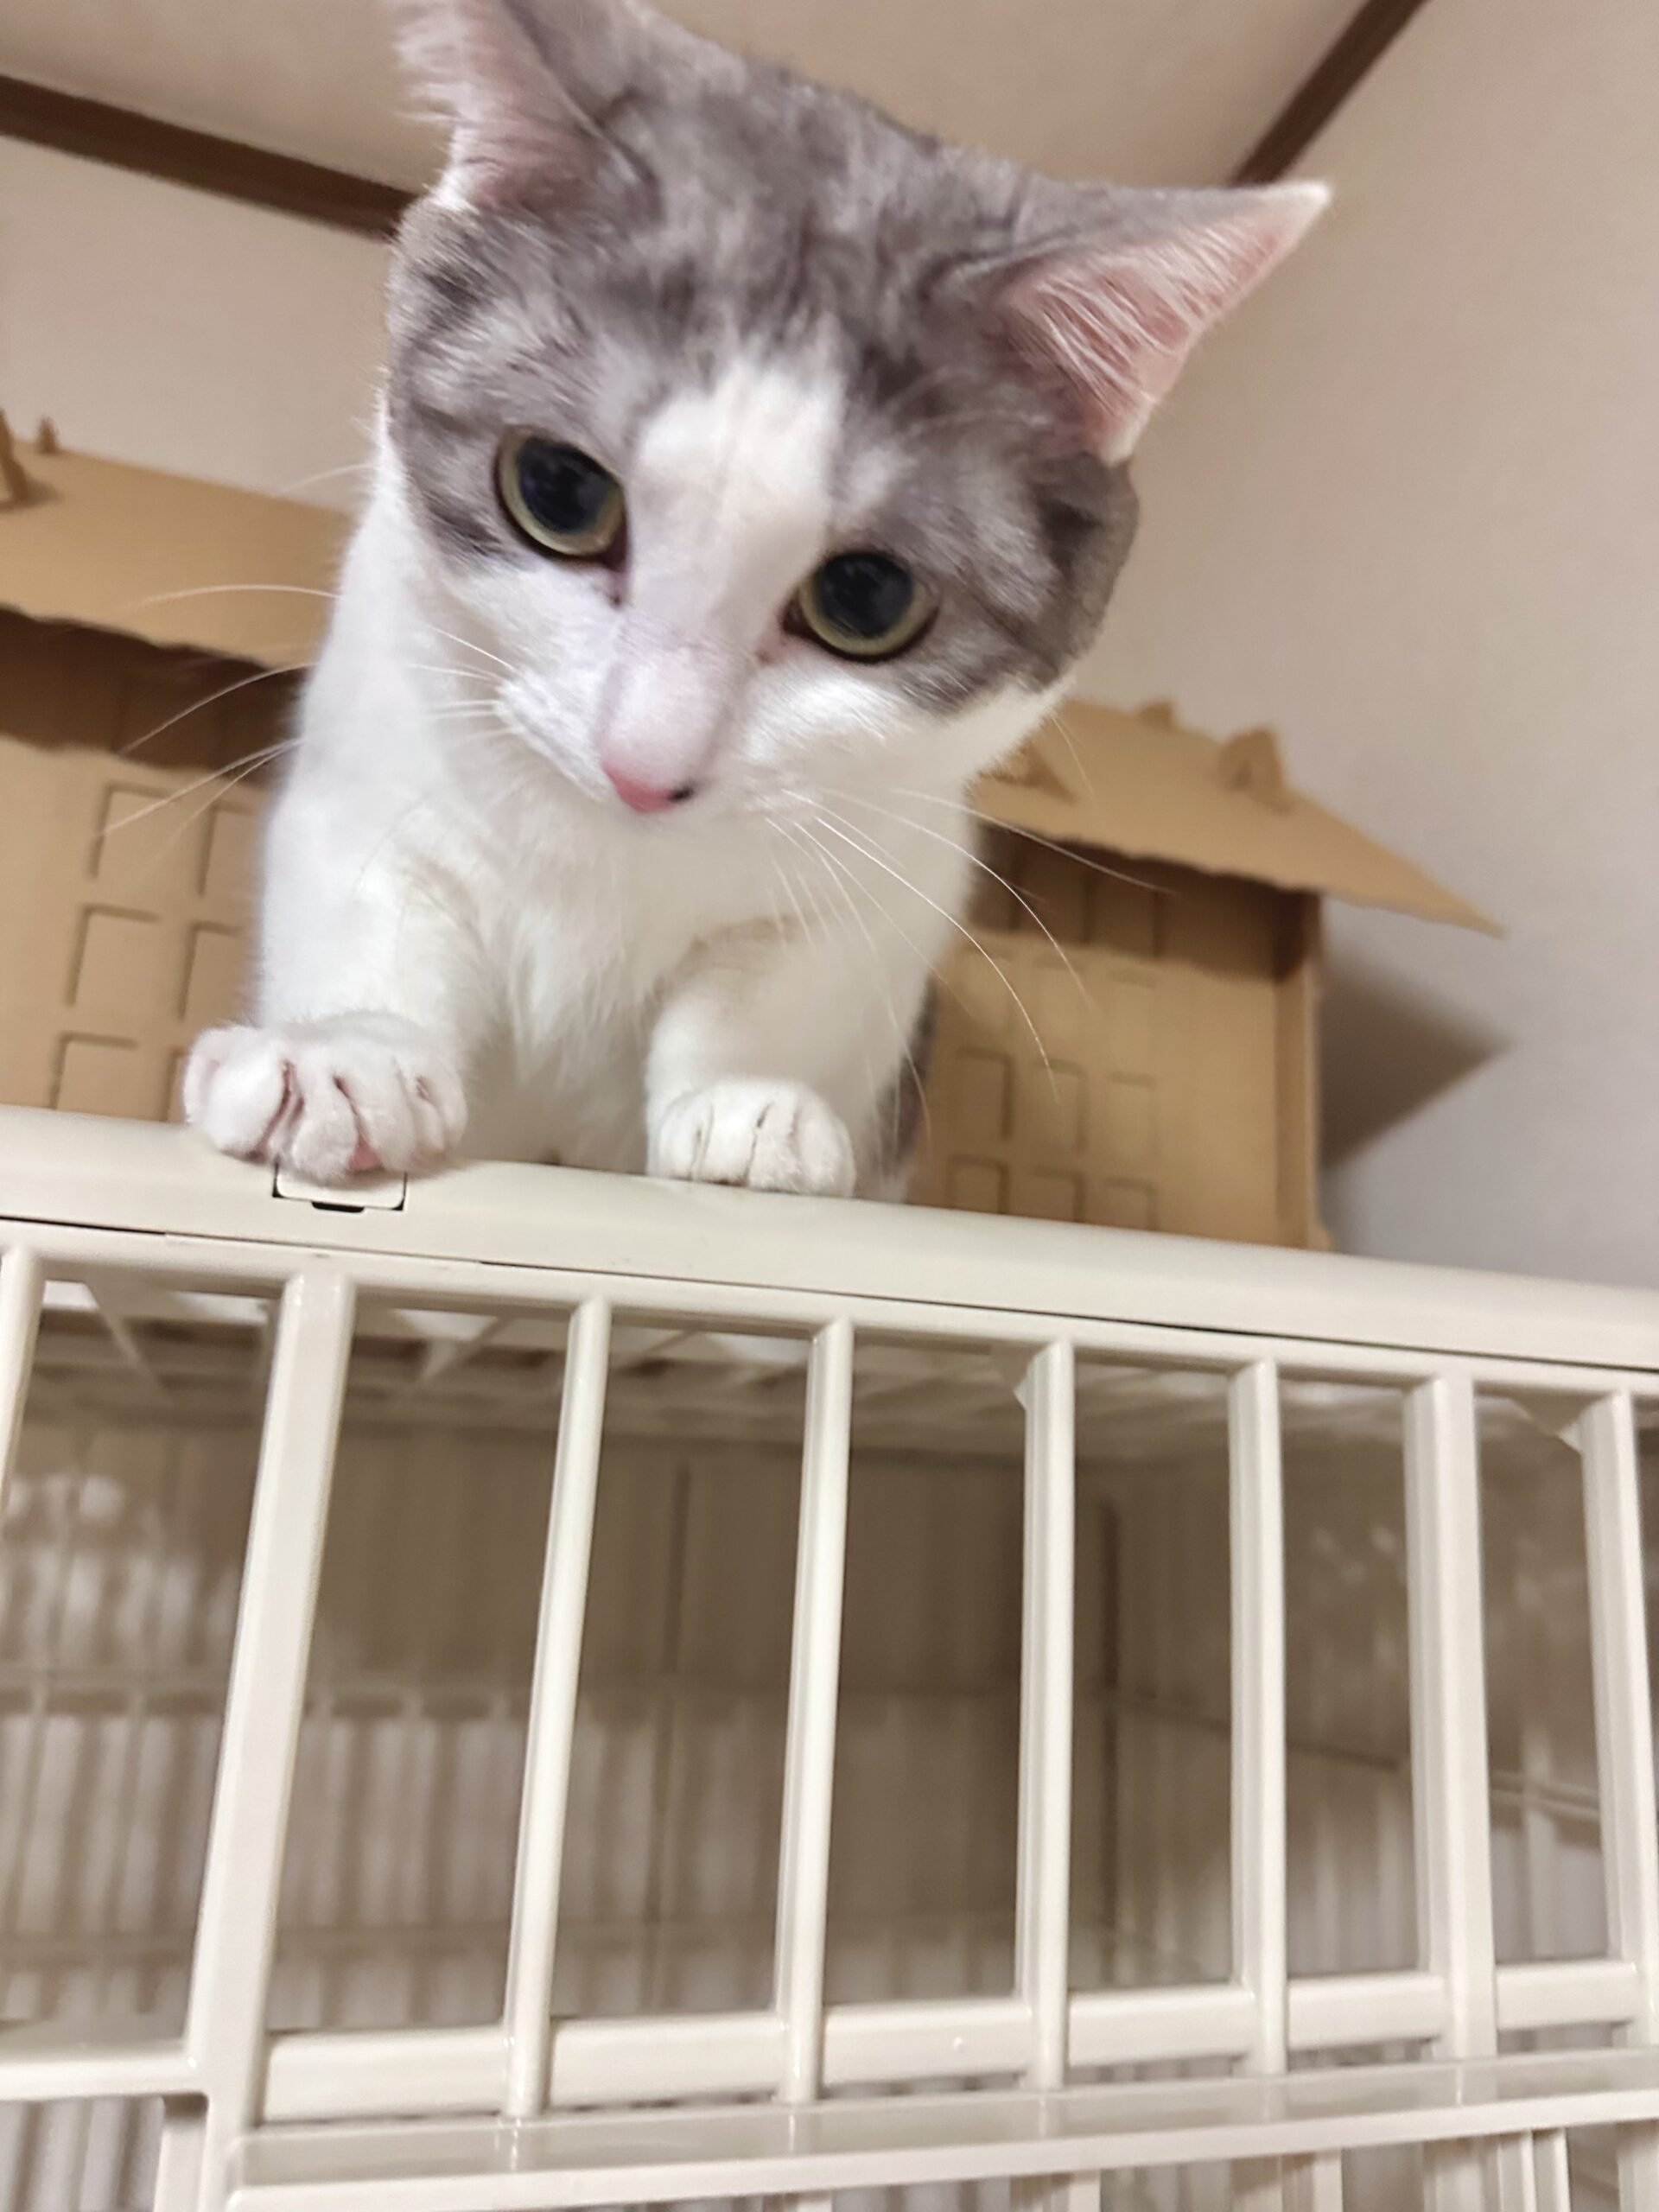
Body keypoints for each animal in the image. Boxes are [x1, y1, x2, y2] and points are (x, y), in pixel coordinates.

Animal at [184, 0, 1324, 1198]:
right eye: (555, 491)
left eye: (865, 600)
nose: (644, 769)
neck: (610, 866)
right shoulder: (372, 745)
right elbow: (375, 899)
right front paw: (344, 1048)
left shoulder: (900, 863)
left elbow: (777, 980)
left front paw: (748, 1101)